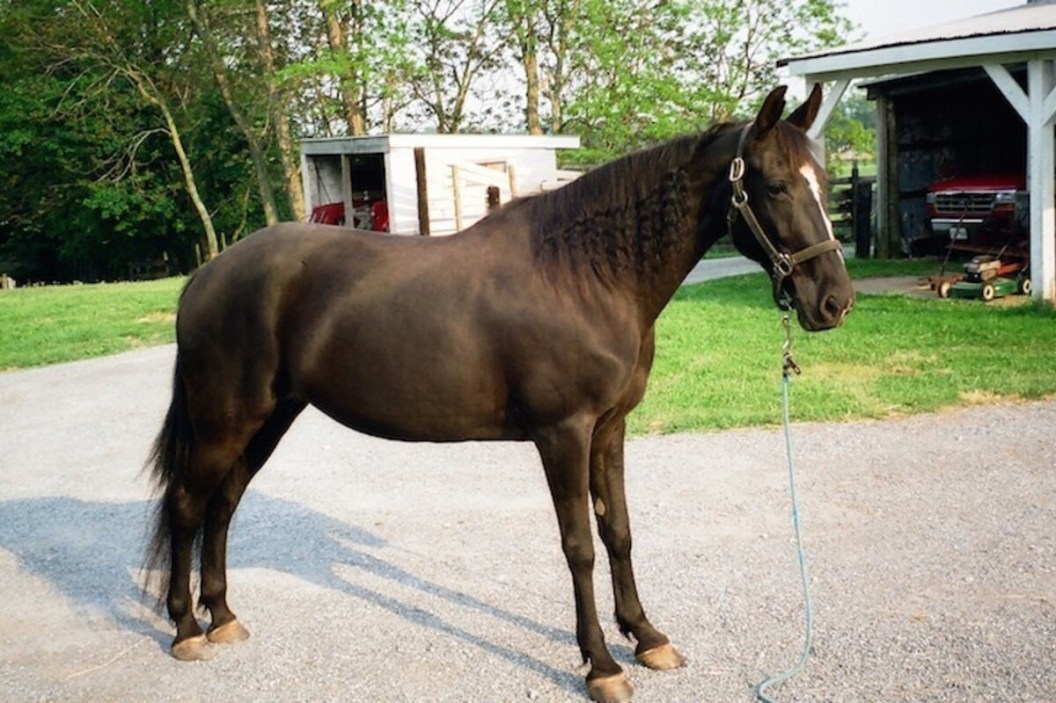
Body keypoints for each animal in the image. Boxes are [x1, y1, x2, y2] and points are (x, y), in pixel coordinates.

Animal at [145, 84, 853, 702]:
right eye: (775, 185)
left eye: (824, 182)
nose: (833, 301)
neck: (585, 273)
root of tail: (206, 275)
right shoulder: (562, 433)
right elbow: (579, 547)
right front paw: (601, 665)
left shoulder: (610, 428)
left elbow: (619, 531)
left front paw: (647, 637)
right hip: (225, 421)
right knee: (187, 504)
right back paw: (186, 629)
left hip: (268, 419)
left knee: (222, 506)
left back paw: (223, 616)